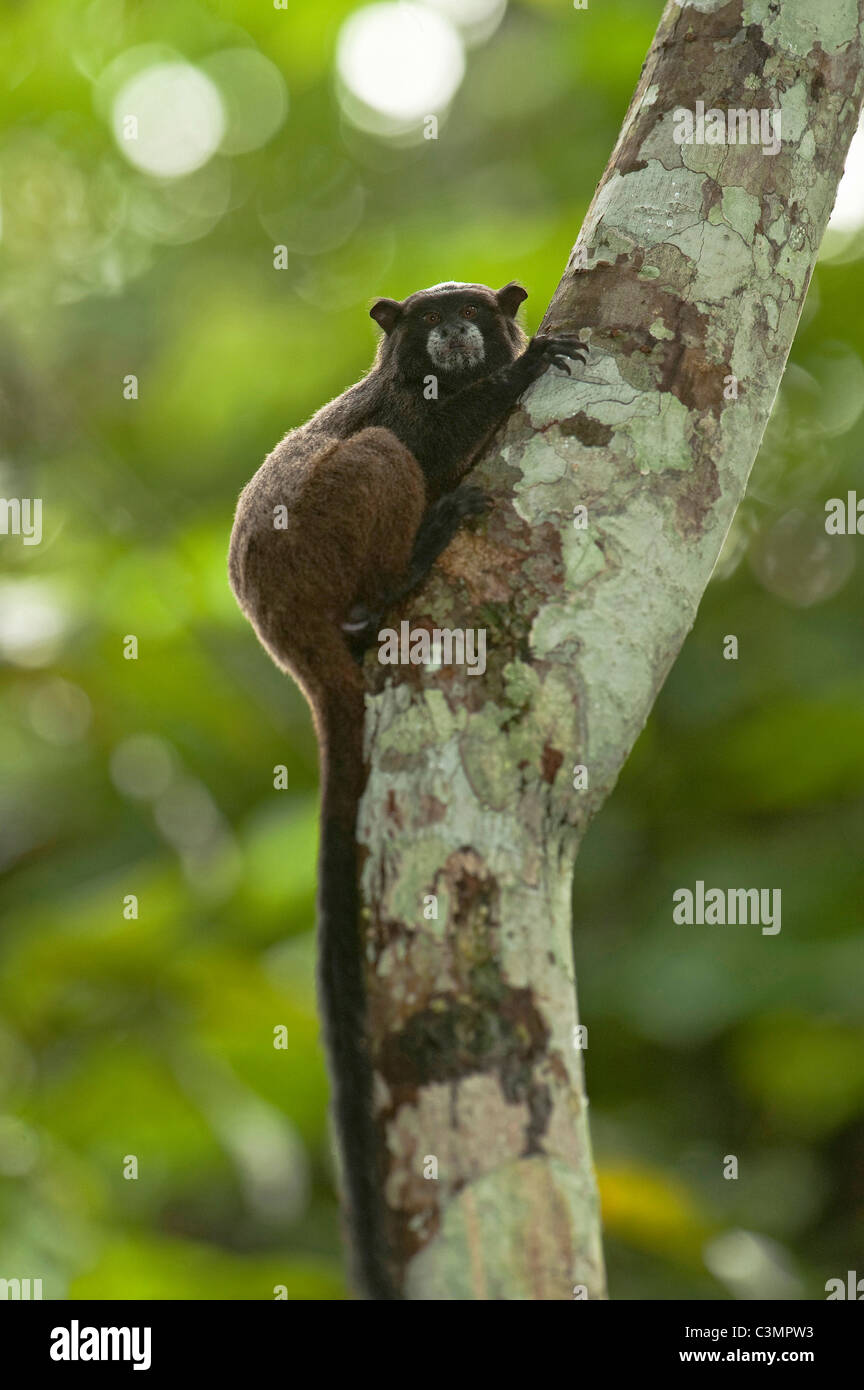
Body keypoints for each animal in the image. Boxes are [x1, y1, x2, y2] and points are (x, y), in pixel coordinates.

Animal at [229, 276, 588, 1295]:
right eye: (431, 325)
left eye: (471, 312)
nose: (461, 333)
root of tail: (282, 627)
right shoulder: (405, 404)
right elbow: (419, 439)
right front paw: (523, 369)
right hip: (313, 540)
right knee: (381, 460)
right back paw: (402, 572)